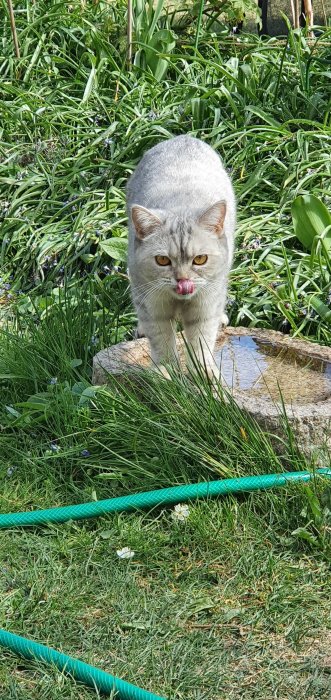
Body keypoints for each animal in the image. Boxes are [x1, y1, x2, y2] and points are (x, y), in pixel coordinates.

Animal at [126, 136, 237, 378]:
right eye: (163, 261)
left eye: (200, 259)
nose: (182, 280)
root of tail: (182, 137)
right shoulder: (153, 306)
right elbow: (162, 341)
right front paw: (166, 372)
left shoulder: (205, 305)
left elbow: (201, 341)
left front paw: (204, 372)